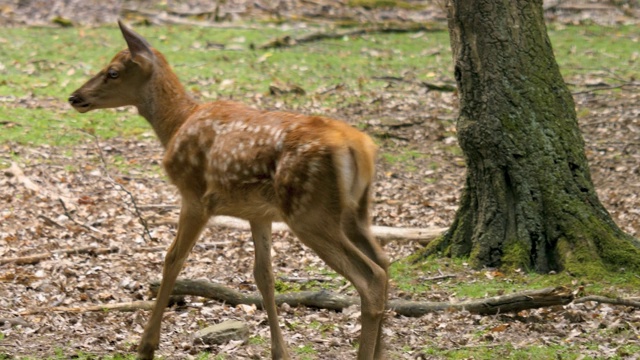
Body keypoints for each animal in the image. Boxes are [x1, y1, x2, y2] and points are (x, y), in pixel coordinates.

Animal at [70, 21, 390, 358]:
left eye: (113, 72)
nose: (75, 97)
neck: (176, 123)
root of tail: (360, 148)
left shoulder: (195, 197)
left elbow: (173, 259)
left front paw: (147, 346)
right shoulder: (259, 213)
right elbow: (264, 275)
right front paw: (280, 351)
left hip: (309, 211)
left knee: (372, 276)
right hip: (354, 212)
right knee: (384, 263)